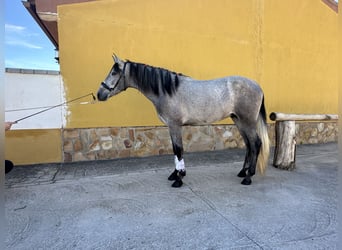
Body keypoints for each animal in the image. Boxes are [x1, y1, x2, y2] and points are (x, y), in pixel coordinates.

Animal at [97, 55, 270, 188]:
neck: (167, 90)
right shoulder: (171, 127)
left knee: (256, 143)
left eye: (114, 72)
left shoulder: (175, 125)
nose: (99, 94)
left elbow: (179, 150)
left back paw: (248, 177)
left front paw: (179, 179)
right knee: (249, 145)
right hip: (239, 121)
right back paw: (242, 172)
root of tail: (258, 86)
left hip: (248, 122)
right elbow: (175, 150)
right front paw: (175, 174)